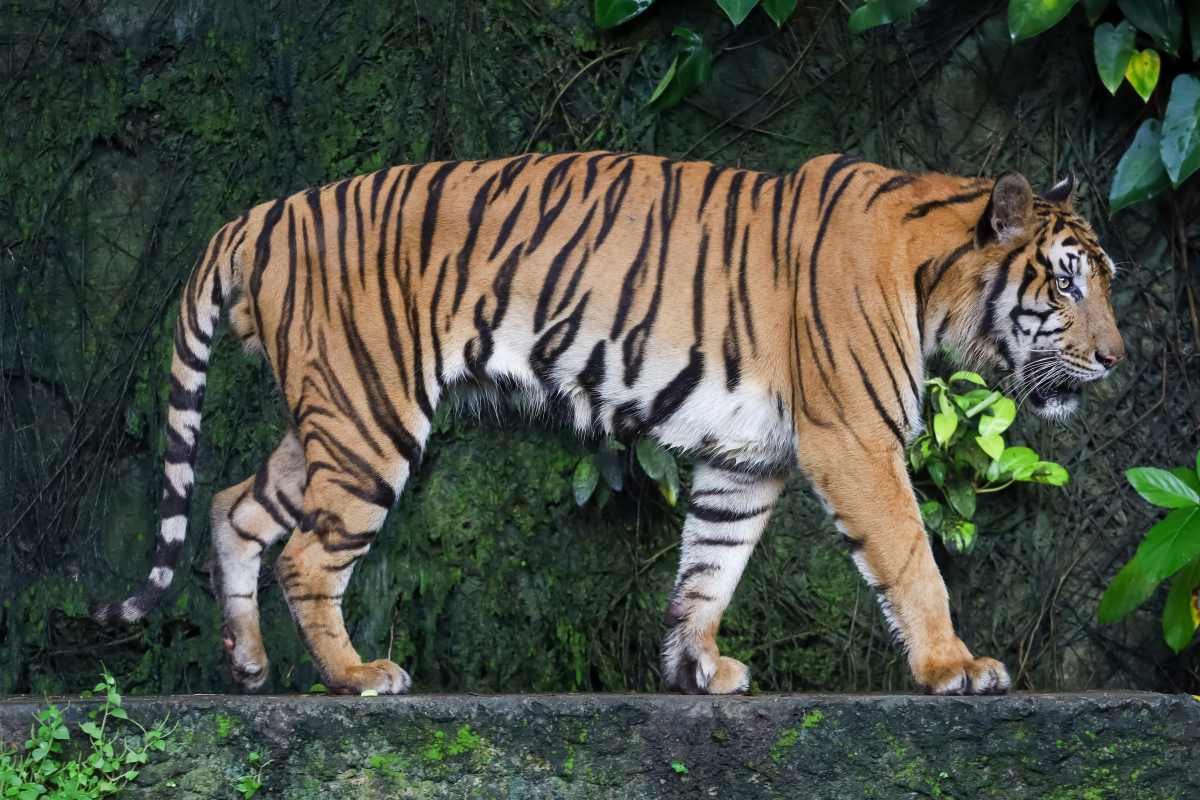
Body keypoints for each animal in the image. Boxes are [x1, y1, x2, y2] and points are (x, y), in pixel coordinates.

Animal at [88, 149, 1118, 695]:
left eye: (1101, 280)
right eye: (1067, 284)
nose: (1114, 358)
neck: (936, 283)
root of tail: (260, 215)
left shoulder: (745, 461)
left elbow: (709, 567)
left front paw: (698, 668)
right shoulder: (855, 440)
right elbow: (911, 559)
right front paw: (955, 666)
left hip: (331, 419)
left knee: (233, 505)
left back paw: (248, 663)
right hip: (370, 416)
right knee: (307, 554)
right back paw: (357, 677)